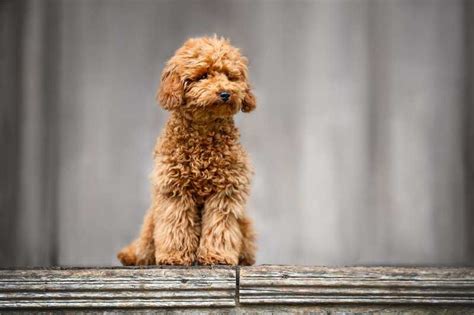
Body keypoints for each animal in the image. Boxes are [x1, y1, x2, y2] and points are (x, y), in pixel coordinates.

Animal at [118, 35, 258, 266]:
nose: (225, 93)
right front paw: (175, 256)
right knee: (144, 248)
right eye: (203, 75)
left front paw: (216, 255)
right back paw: (131, 255)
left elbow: (220, 226)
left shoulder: (226, 192)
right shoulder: (175, 189)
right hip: (150, 222)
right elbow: (176, 224)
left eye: (230, 76)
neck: (203, 133)